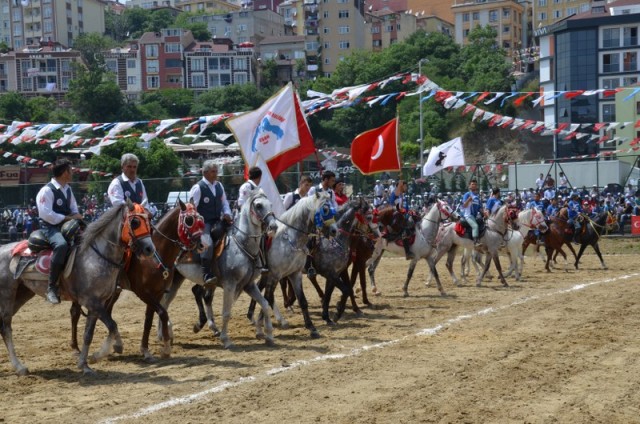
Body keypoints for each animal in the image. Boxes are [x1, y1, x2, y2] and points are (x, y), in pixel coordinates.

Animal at [0, 202, 155, 374]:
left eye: (150, 219)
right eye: (135, 222)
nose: (149, 249)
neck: (96, 257)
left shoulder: (96, 305)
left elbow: (89, 334)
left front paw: (85, 365)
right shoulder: (91, 301)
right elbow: (112, 324)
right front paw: (112, 349)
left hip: (22, 294)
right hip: (7, 295)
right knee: (6, 328)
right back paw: (19, 367)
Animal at [68, 200, 204, 360]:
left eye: (201, 218)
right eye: (189, 220)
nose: (202, 244)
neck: (155, 256)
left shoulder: (157, 293)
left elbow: (149, 320)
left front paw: (145, 349)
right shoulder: (143, 293)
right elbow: (163, 313)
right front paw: (165, 347)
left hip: (113, 291)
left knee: (106, 311)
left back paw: (112, 344)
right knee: (75, 313)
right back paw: (76, 348)